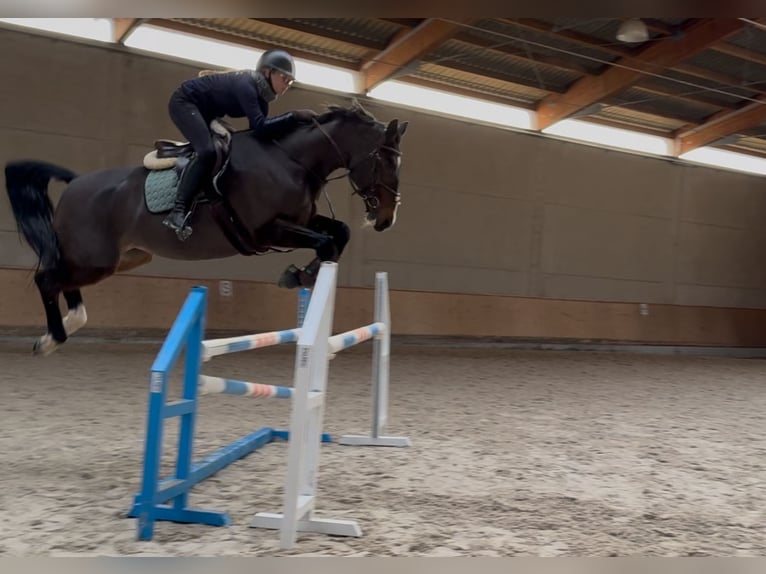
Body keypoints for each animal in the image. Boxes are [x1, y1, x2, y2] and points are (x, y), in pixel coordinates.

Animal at [5, 99, 408, 356]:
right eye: (385, 159)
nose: (386, 219)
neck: (291, 160)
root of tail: (74, 182)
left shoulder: (299, 222)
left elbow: (338, 234)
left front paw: (300, 274)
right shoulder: (266, 230)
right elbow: (326, 241)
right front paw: (297, 274)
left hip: (120, 259)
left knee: (60, 279)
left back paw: (70, 323)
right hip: (95, 260)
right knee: (46, 280)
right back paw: (52, 339)